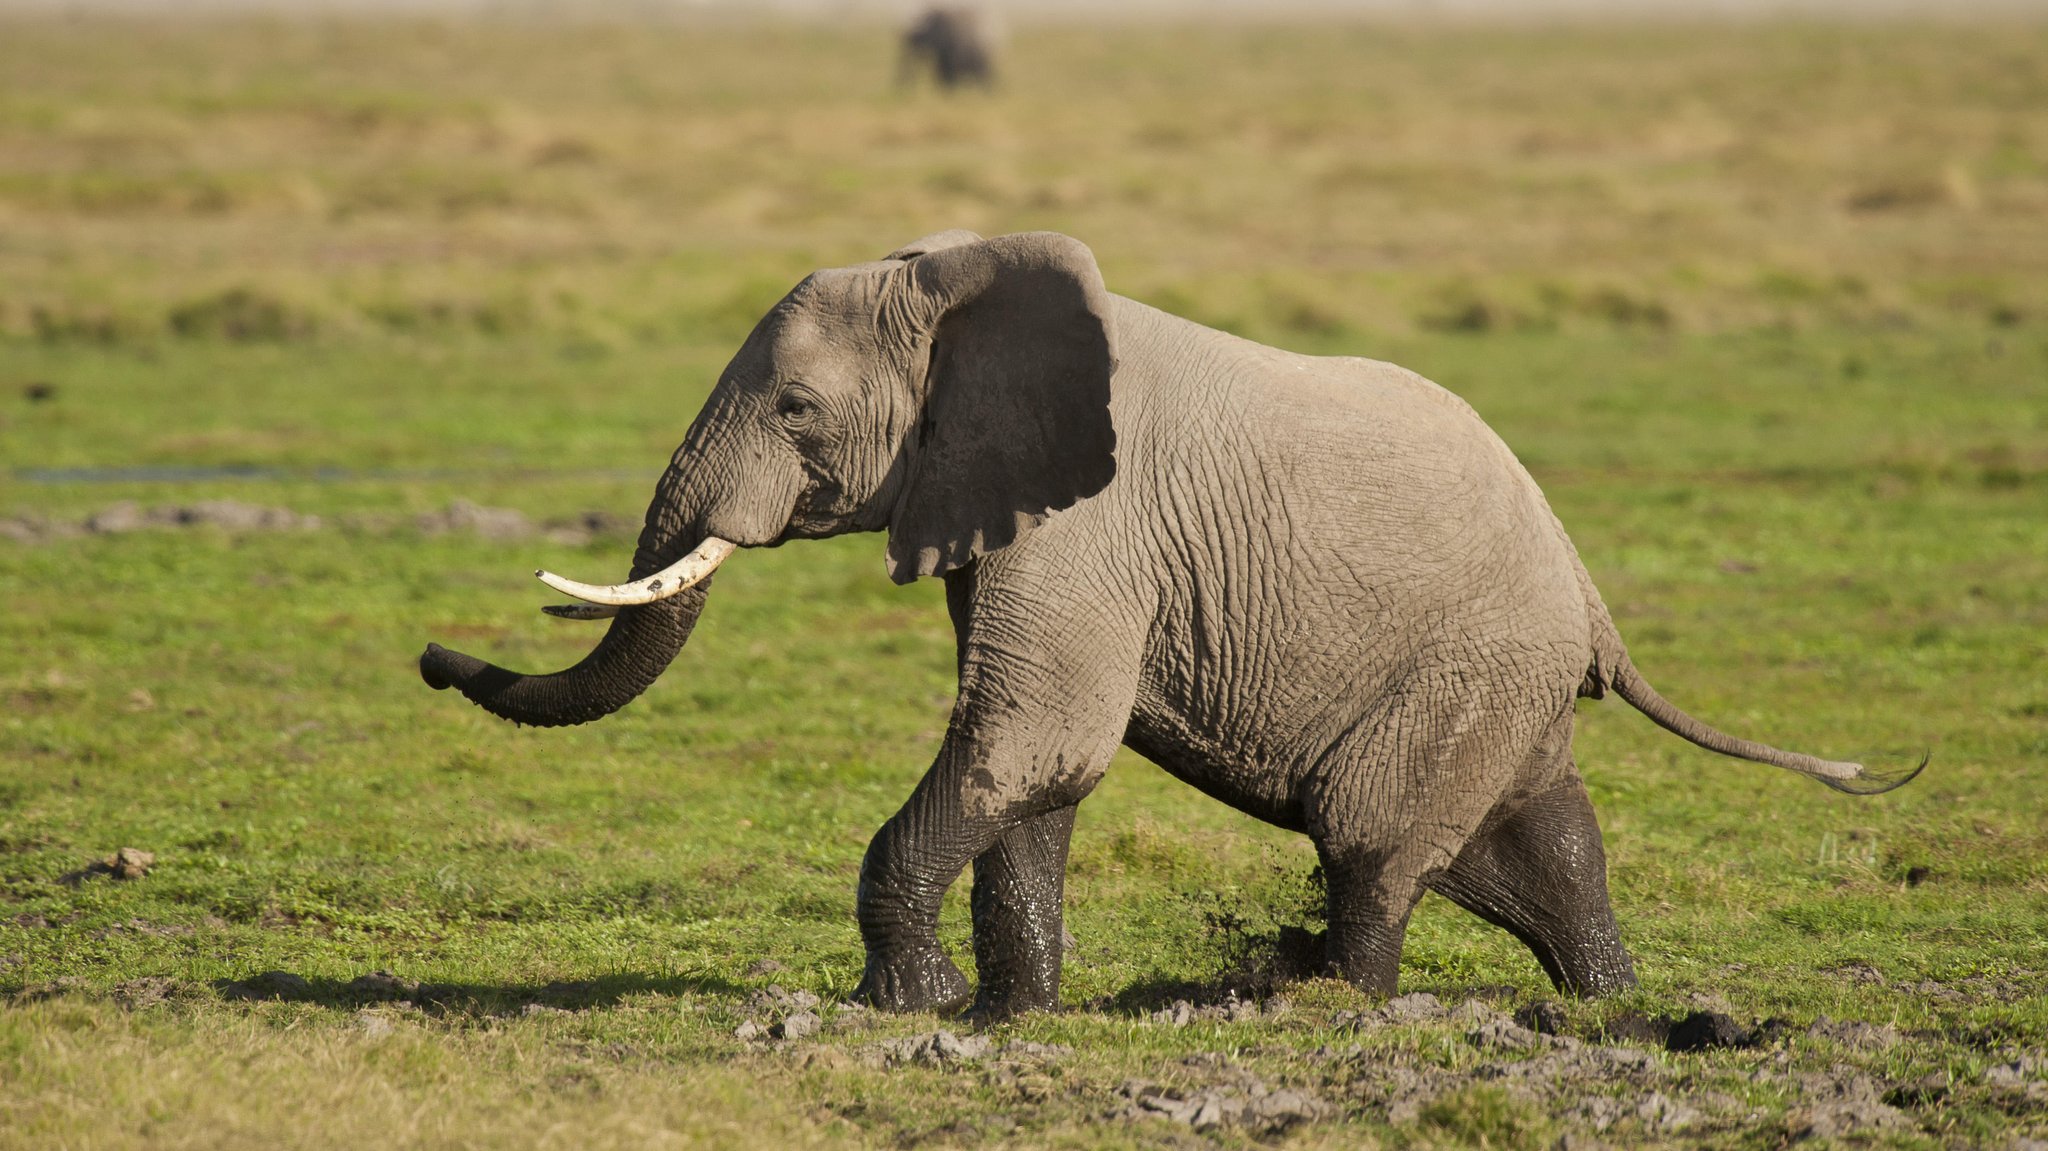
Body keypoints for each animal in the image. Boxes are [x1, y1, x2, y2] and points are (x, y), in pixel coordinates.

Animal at [419, 230, 1916, 1011]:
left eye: (793, 408)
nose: (434, 655)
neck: (957, 288)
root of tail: (1591, 594)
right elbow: (1036, 767)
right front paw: (1015, 1014)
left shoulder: (1090, 523)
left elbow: (1034, 733)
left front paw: (910, 1007)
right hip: (1504, 680)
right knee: (1536, 844)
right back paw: (1608, 1003)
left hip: (1467, 667)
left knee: (1372, 841)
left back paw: (1328, 1002)